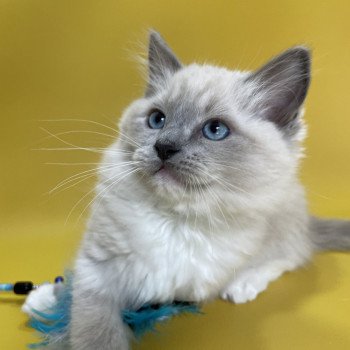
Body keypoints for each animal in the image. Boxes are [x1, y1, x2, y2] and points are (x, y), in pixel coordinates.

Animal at [25, 31, 350, 348]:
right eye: (157, 119)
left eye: (215, 130)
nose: (164, 147)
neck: (173, 219)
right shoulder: (98, 269)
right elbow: (89, 318)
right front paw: (50, 302)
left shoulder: (187, 284)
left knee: (291, 254)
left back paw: (243, 285)